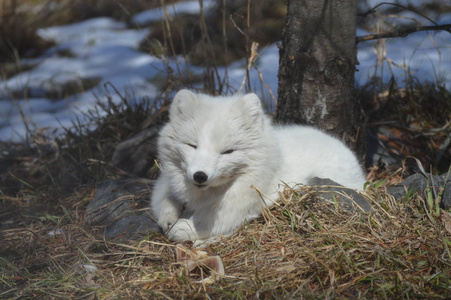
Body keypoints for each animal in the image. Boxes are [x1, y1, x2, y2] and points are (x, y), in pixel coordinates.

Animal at [152, 89, 368, 241]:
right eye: (192, 145)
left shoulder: (256, 195)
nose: (199, 175)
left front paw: (184, 228)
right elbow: (163, 197)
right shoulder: (167, 181)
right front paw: (168, 216)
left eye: (228, 151)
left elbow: (220, 217)